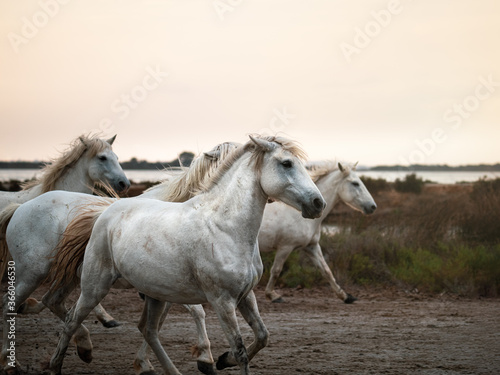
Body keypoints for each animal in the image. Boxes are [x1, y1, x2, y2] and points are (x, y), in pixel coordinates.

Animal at [1, 142, 240, 374]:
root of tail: (20, 208)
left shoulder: (164, 288)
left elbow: (160, 323)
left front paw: (147, 363)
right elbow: (194, 312)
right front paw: (206, 358)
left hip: (70, 276)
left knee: (53, 301)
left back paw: (83, 346)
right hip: (32, 274)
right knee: (9, 305)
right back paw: (12, 363)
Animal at [47, 137, 328, 375]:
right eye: (286, 163)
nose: (318, 203)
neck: (225, 227)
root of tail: (105, 212)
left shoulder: (246, 296)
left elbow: (262, 336)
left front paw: (222, 360)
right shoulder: (222, 301)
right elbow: (240, 349)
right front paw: (221, 359)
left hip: (155, 294)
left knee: (148, 330)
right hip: (96, 285)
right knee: (72, 320)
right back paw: (58, 365)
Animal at [258, 161, 376, 302]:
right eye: (355, 183)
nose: (372, 206)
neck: (300, 216)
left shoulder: (311, 246)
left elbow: (326, 270)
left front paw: (345, 296)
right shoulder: (285, 247)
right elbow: (276, 271)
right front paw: (272, 295)